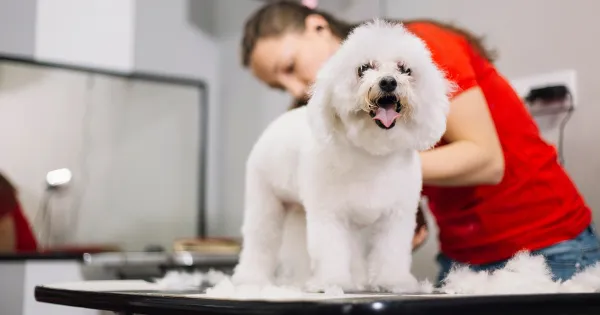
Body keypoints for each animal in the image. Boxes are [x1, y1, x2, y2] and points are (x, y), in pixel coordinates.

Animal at [232, 20, 452, 294]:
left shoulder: (396, 216)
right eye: (364, 68)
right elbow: (330, 251)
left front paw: (394, 281)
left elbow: (391, 252)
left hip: (305, 216)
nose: (388, 82)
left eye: (405, 69)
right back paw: (251, 279)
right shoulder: (329, 215)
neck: (371, 155)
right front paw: (332, 282)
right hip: (265, 203)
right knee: (260, 240)